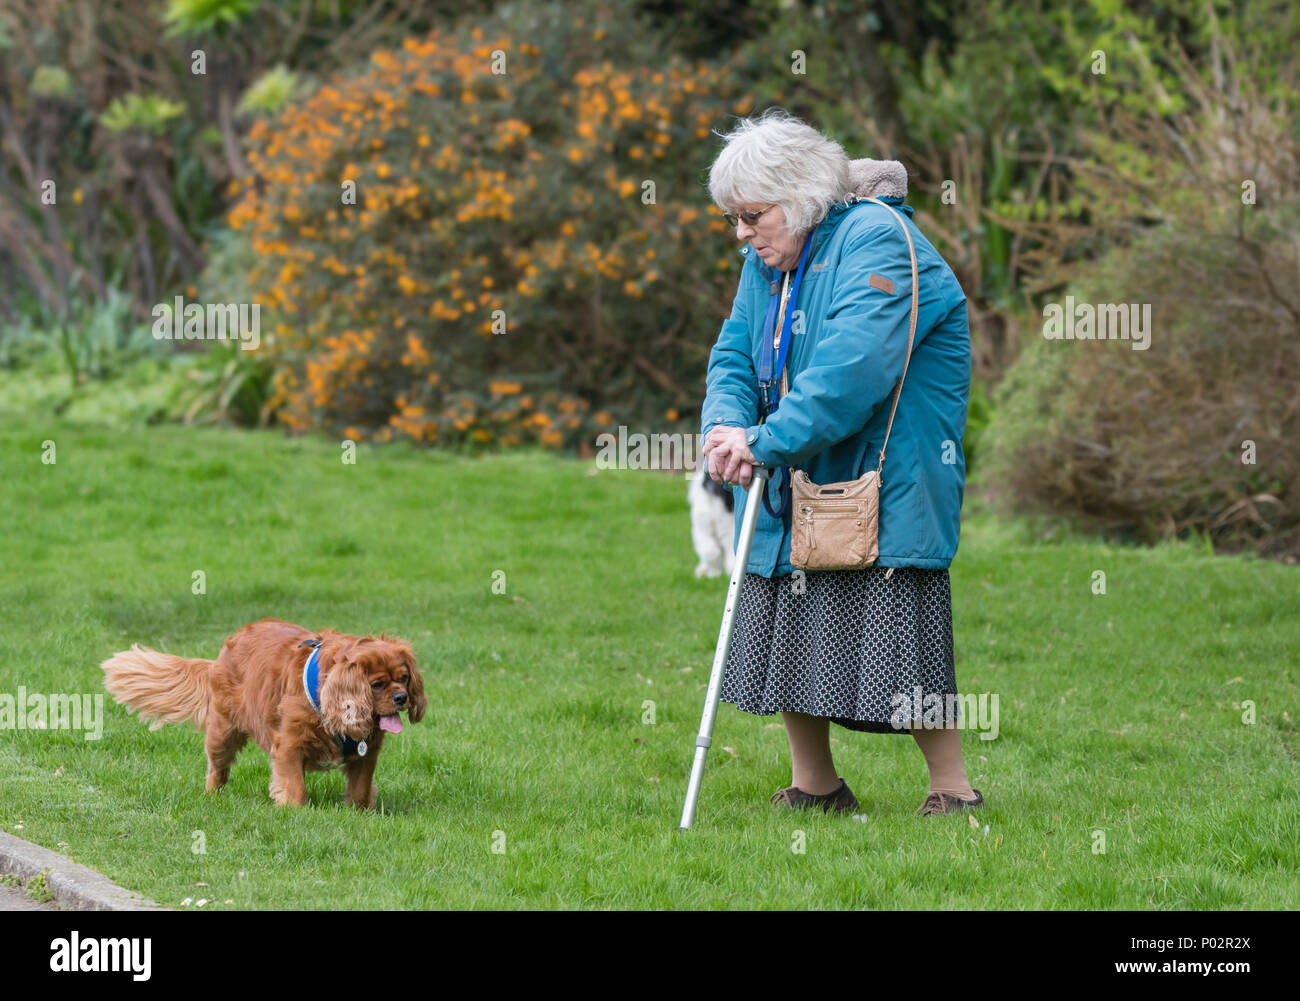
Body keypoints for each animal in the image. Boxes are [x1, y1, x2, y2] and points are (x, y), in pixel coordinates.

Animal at [102, 616, 426, 811]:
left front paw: (360, 812)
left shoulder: (366, 753)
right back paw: (212, 796)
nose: (401, 697)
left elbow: (360, 788)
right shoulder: (289, 745)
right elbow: (295, 787)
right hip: (223, 734)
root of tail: (223, 652)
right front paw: (295, 810)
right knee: (217, 769)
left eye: (404, 678)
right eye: (376, 685)